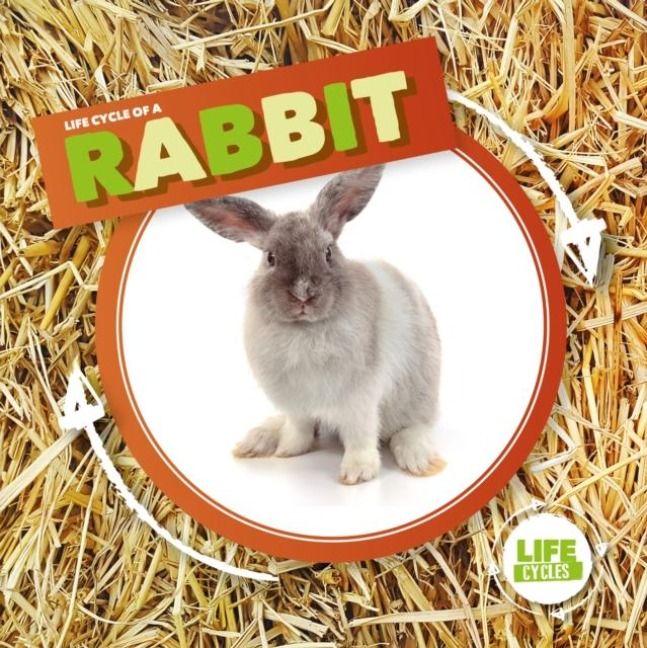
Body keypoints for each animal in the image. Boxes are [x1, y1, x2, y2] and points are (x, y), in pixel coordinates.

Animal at [186, 165, 444, 484]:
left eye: (328, 252)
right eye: (270, 257)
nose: (303, 294)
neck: (305, 329)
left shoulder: (360, 400)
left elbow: (360, 435)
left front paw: (357, 473)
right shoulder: (296, 402)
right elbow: (299, 428)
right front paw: (287, 451)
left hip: (418, 396)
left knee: (412, 428)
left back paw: (420, 460)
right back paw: (256, 440)